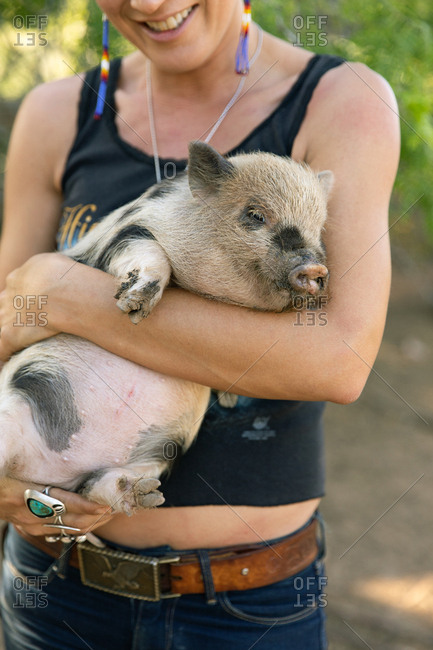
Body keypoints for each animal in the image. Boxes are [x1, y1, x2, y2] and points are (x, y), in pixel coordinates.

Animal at [0, 142, 332, 515]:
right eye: (256, 215)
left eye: (319, 227)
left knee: (94, 487)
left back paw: (143, 494)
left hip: (151, 455)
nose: (315, 268)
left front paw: (230, 398)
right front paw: (135, 308)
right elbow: (150, 253)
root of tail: (44, 471)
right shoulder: (131, 229)